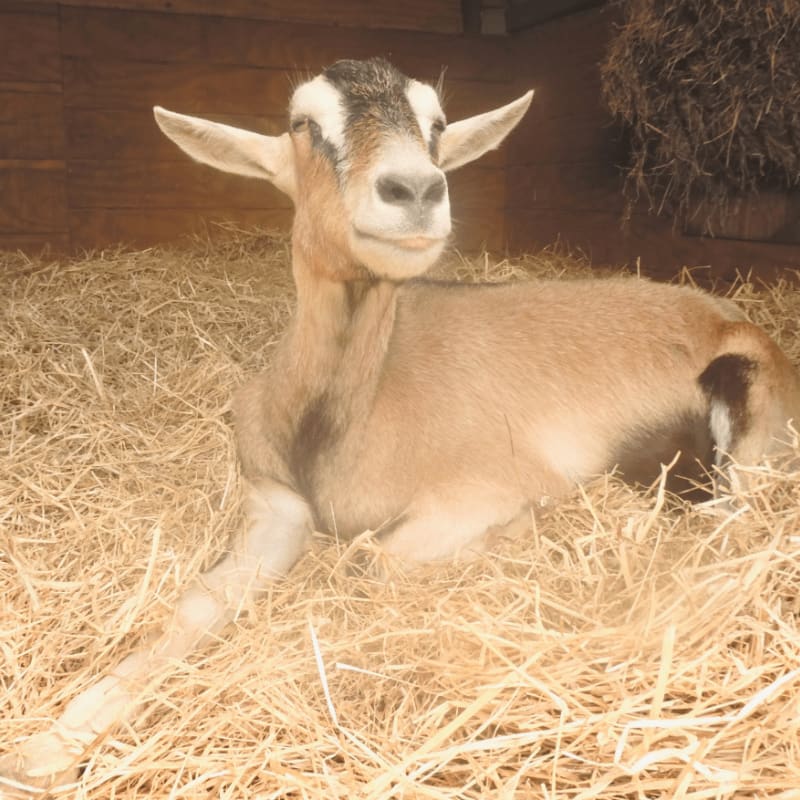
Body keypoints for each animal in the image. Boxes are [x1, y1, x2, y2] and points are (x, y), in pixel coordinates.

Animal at [2, 56, 799, 794]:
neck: (345, 421)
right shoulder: (274, 507)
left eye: (437, 124)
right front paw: (47, 748)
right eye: (303, 123)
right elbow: (198, 604)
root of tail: (730, 319)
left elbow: (371, 564)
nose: (415, 191)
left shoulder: (482, 491)